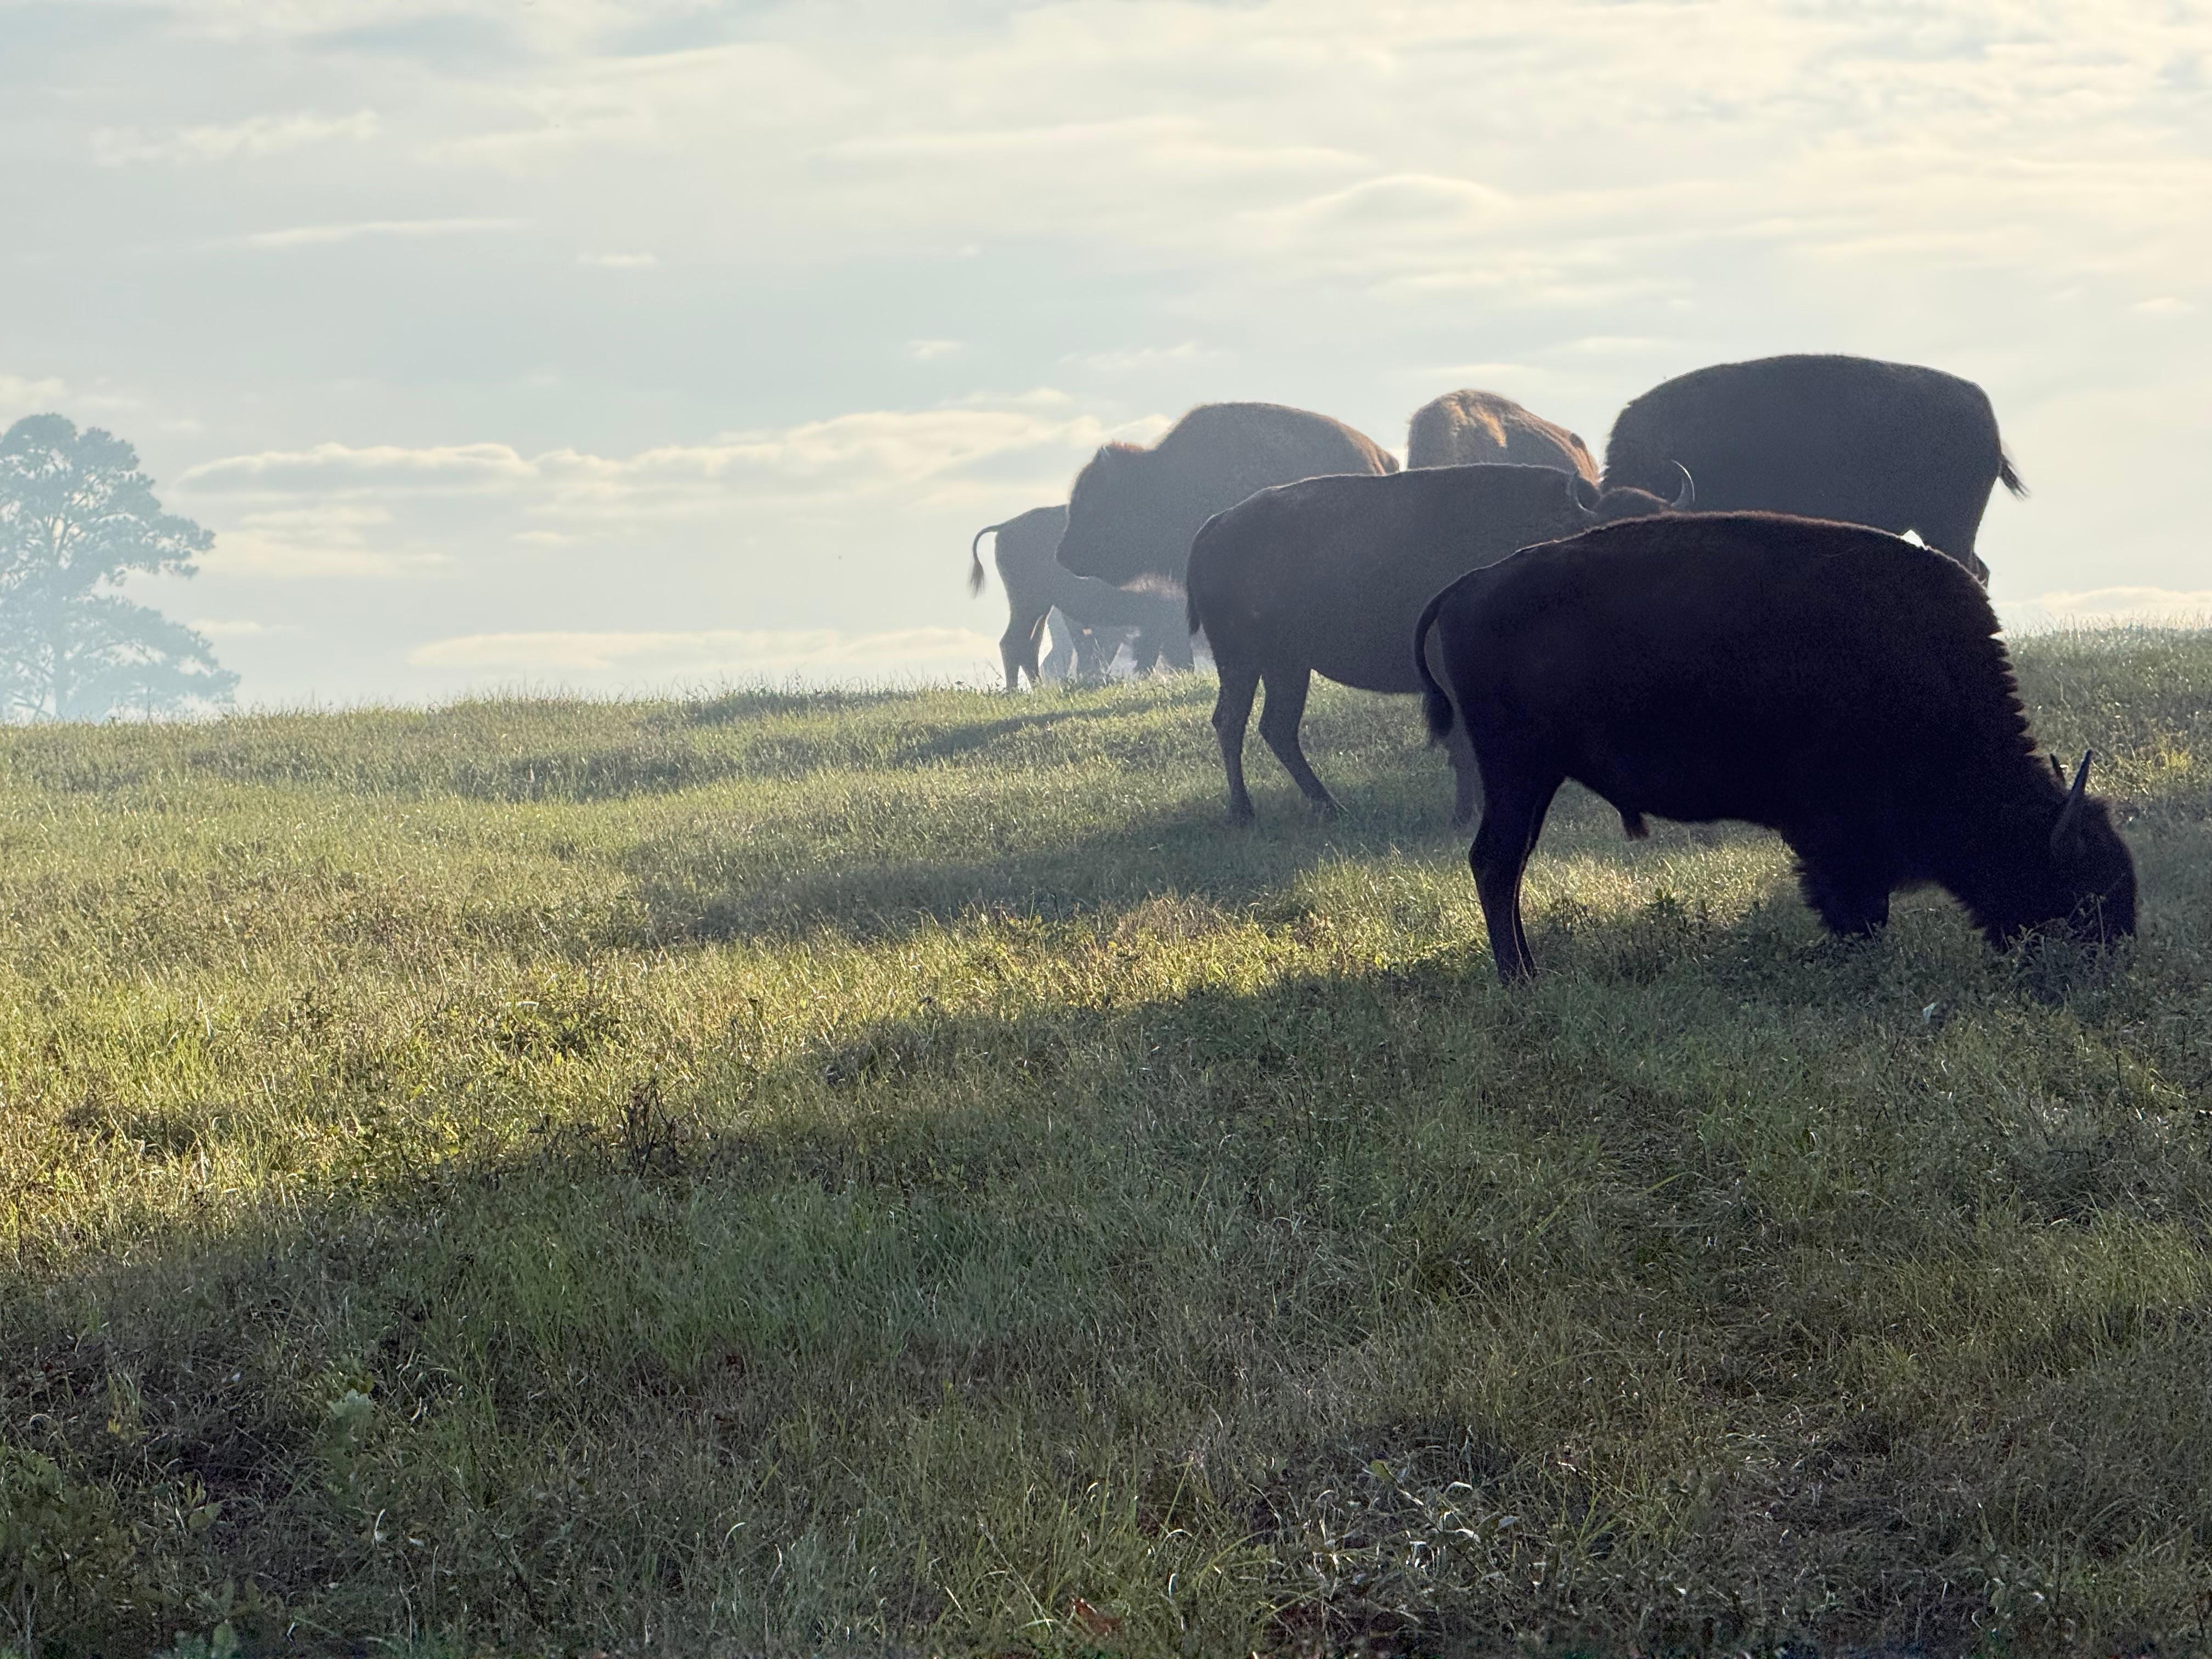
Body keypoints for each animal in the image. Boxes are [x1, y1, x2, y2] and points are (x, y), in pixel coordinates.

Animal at [969, 506, 1185, 690]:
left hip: (1040, 607)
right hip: (1028, 604)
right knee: (1014, 643)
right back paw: (1016, 691)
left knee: (1030, 645)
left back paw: (1038, 688)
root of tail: (1005, 526)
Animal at [1187, 463, 1690, 825]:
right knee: (1232, 722)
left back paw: (1330, 807)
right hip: (1242, 659)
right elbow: (1463, 745)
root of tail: (1218, 523)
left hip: (1287, 665)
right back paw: (1245, 813)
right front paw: (1465, 815)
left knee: (1277, 727)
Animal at [1413, 513, 2135, 982]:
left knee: (1507, 864)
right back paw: (1521, 980)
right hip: (1518, 768)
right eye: (2086, 894)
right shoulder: (1839, 838)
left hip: (1533, 775)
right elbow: (1859, 909)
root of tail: (1466, 585)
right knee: (1496, 862)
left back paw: (1528, 971)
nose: (2110, 960)